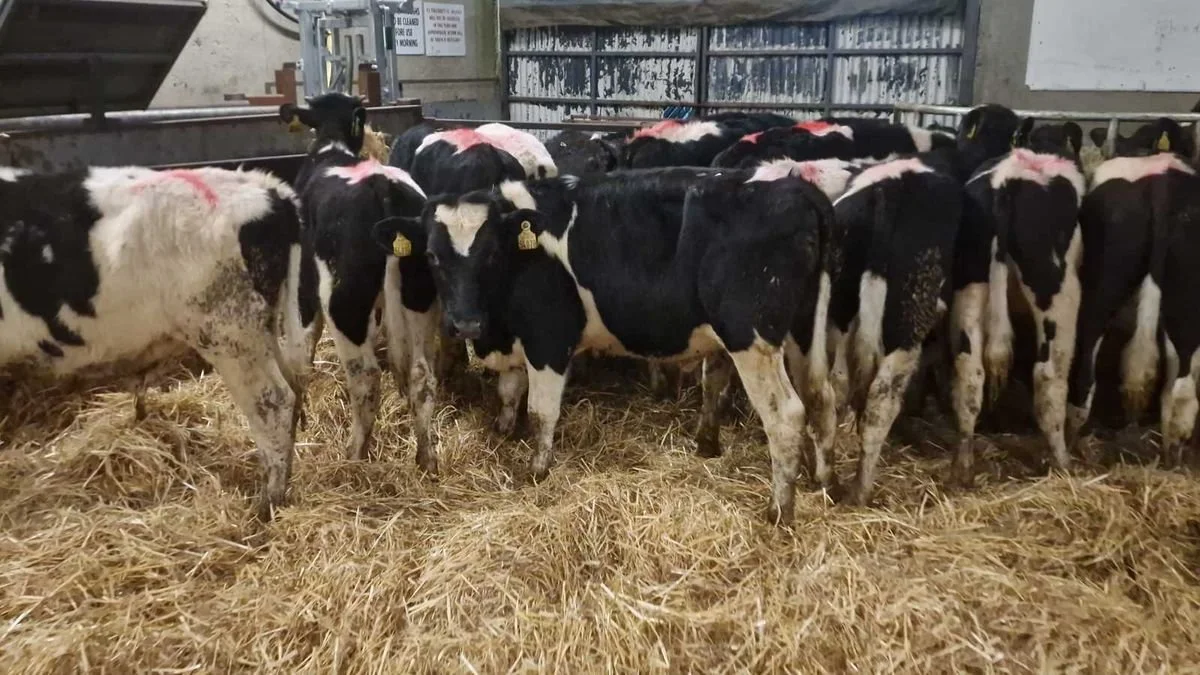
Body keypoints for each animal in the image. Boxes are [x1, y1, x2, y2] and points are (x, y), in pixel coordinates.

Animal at [0, 164, 307, 521]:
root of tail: (265, 187)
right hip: (260, 332)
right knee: (292, 390)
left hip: (229, 335)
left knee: (274, 401)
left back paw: (268, 503)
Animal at [278, 93, 439, 473]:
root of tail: (383, 188)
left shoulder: (304, 290)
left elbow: (303, 353)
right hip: (419, 296)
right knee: (422, 376)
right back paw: (426, 458)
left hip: (343, 304)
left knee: (366, 378)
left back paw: (354, 455)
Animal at [370, 167, 837, 524]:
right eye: (433, 256)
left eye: (489, 254)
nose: (465, 322)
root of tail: (794, 187)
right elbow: (509, 391)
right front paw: (503, 432)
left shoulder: (549, 339)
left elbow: (541, 412)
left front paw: (536, 470)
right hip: (803, 330)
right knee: (819, 397)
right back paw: (819, 480)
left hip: (751, 338)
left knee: (786, 414)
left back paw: (780, 510)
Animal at [949, 118, 1087, 485]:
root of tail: (1006, 185)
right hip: (1057, 292)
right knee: (1048, 376)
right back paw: (1062, 462)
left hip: (969, 288)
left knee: (970, 373)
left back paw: (963, 467)